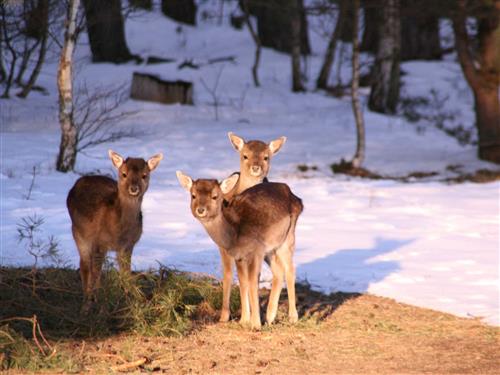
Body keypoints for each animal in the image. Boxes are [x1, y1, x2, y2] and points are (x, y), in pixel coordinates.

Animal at [66, 150, 162, 300]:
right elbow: (95, 274)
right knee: (85, 266)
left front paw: (133, 299)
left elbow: (126, 274)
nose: (133, 188)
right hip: (78, 232)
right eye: (124, 173)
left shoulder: (128, 246)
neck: (119, 231)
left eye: (144, 175)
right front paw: (92, 302)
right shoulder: (99, 242)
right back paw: (87, 296)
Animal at [177, 172, 300, 330]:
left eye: (215, 196)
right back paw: (269, 317)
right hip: (270, 249)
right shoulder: (239, 256)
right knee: (278, 271)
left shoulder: (256, 251)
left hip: (287, 237)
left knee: (290, 269)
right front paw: (244, 320)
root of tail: (297, 198)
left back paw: (292, 318)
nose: (200, 210)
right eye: (193, 195)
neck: (235, 235)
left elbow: (253, 283)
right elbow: (243, 282)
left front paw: (255, 324)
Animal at [217, 133, 288, 324]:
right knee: (227, 273)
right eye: (245, 155)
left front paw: (253, 317)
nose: (256, 167)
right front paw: (243, 318)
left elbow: (253, 278)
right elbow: (236, 277)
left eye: (266, 157)